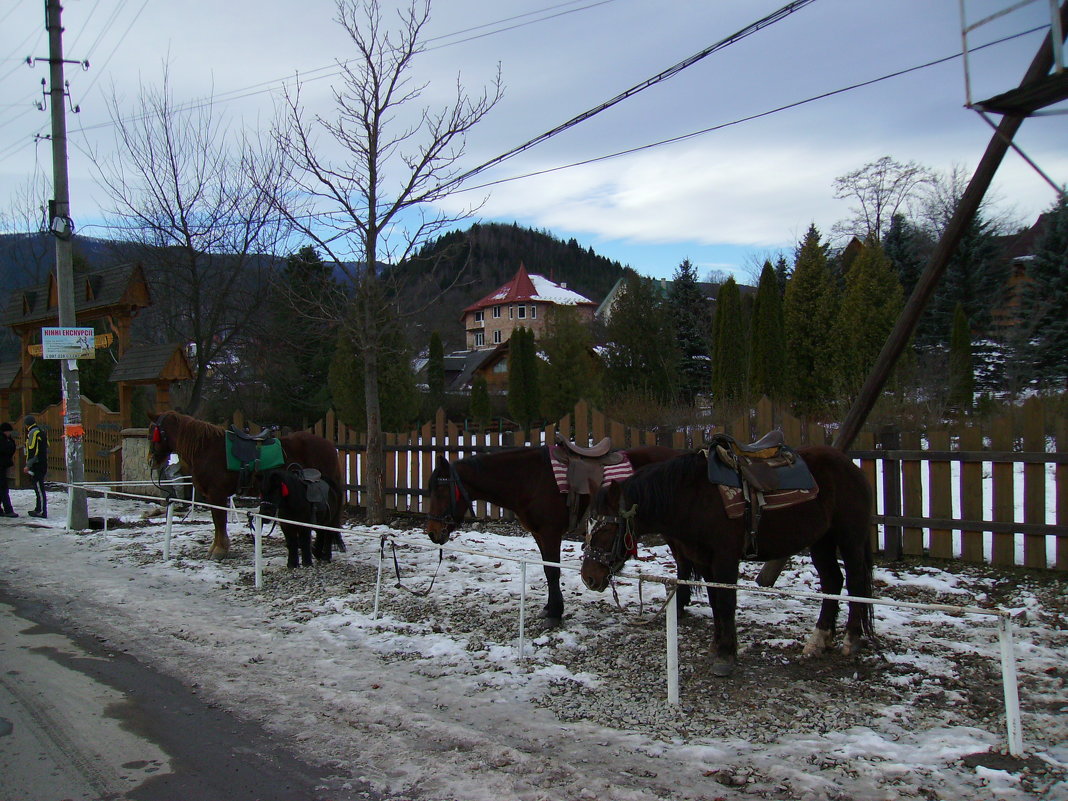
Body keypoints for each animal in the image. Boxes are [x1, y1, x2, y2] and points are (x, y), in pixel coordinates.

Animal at [146, 410, 343, 559]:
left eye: (152, 434)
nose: (151, 461)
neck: (207, 449)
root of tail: (329, 445)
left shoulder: (217, 495)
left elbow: (219, 521)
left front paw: (219, 550)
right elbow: (217, 522)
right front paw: (215, 548)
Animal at [425, 446, 700, 627]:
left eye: (442, 490)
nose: (433, 532)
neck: (528, 479)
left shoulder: (550, 533)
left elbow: (552, 571)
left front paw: (555, 613)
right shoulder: (539, 534)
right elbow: (548, 569)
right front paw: (550, 608)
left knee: (683, 562)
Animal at [585, 446, 875, 679]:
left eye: (606, 530)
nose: (589, 577)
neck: (691, 497)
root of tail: (852, 467)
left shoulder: (724, 558)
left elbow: (725, 603)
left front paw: (726, 656)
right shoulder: (704, 561)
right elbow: (715, 602)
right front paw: (719, 646)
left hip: (849, 539)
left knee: (856, 583)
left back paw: (851, 638)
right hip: (821, 541)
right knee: (832, 581)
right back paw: (819, 640)